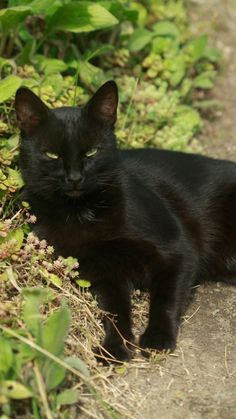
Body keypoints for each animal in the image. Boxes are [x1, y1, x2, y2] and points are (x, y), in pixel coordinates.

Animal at [15, 82, 236, 364]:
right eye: (52, 155)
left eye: (91, 151)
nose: (74, 177)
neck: (82, 214)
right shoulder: (104, 273)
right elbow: (115, 312)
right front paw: (114, 348)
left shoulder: (179, 248)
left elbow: (165, 298)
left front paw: (157, 339)